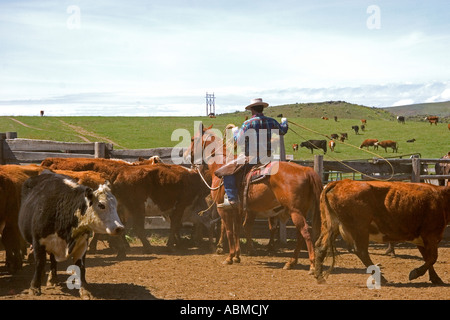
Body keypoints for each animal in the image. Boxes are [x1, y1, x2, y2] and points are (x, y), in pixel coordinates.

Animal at [186, 124, 324, 272]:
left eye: (193, 139)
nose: (187, 156)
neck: (220, 164)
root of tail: (306, 170)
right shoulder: (238, 209)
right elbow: (237, 230)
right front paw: (237, 256)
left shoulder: (223, 208)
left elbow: (229, 230)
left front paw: (229, 257)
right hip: (301, 210)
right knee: (299, 235)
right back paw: (291, 262)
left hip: (295, 211)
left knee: (305, 232)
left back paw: (312, 265)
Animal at [314, 180, 450, 284]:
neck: (442, 197)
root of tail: (339, 183)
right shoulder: (430, 235)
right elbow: (432, 258)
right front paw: (415, 273)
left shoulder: (421, 239)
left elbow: (428, 258)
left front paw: (436, 279)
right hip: (360, 228)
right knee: (361, 251)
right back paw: (382, 278)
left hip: (331, 226)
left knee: (321, 247)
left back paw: (320, 277)